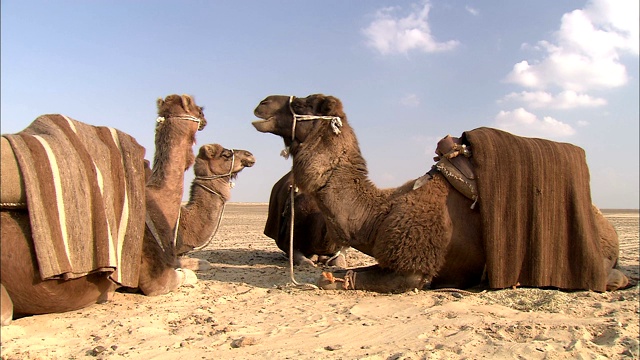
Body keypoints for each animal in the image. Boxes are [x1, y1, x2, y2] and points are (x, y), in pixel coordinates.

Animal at [252, 93, 628, 292]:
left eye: (306, 103)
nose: (262, 104)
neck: (379, 215)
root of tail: (608, 227)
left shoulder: (414, 267)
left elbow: (343, 279)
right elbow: (335, 274)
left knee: (612, 276)